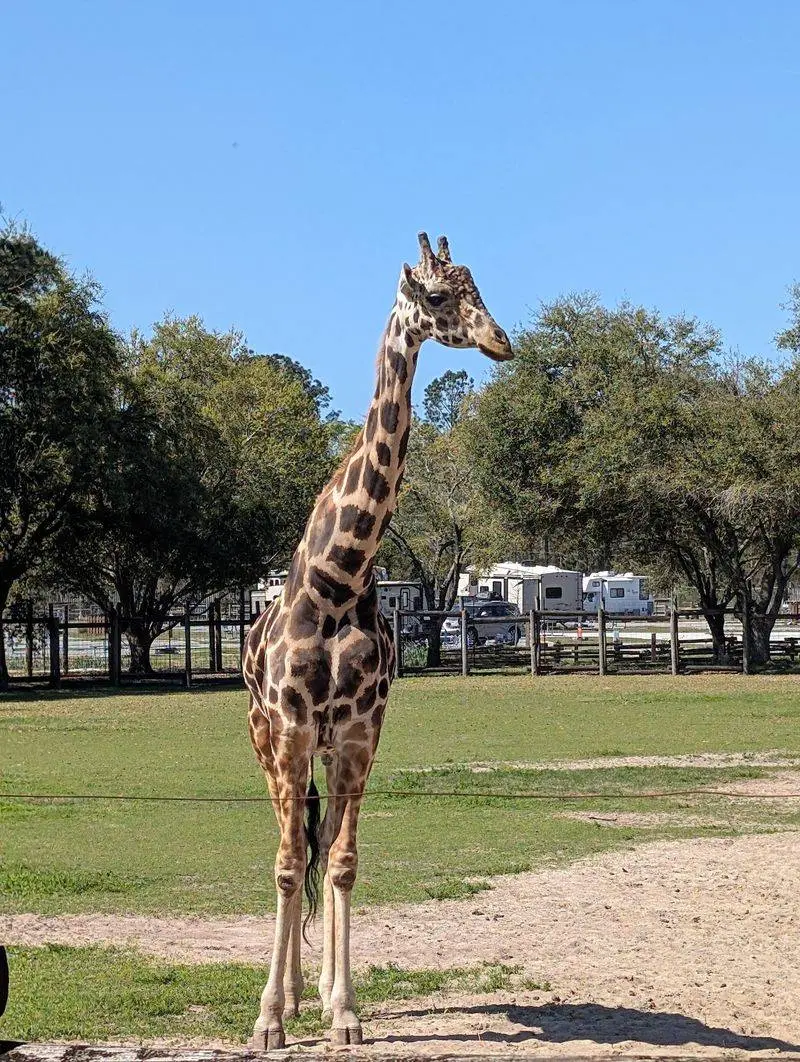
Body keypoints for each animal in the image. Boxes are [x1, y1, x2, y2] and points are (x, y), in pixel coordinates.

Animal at [242, 232, 513, 1049]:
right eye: (437, 296)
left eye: (479, 288)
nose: (501, 341)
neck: (339, 579)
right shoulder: (292, 728)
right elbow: (288, 863)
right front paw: (270, 1019)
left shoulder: (362, 731)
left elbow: (344, 860)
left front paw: (346, 1010)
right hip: (267, 743)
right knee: (288, 841)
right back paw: (290, 995)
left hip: (329, 749)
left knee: (323, 840)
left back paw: (318, 992)